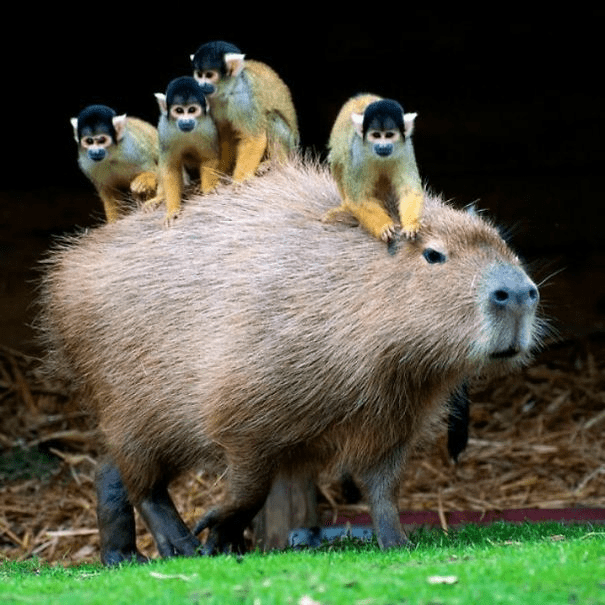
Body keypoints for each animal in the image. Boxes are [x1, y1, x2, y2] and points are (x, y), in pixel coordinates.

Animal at [146, 76, 221, 224]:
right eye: (179, 111)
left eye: (191, 110)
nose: (186, 121)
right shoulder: (164, 129)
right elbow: (170, 168)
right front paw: (172, 211)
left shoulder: (209, 127)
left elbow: (209, 158)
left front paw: (208, 188)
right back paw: (161, 197)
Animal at [191, 39, 300, 182]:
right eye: (199, 75)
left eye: (209, 75)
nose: (200, 85)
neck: (227, 90)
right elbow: (226, 135)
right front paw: (220, 171)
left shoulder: (243, 98)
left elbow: (254, 138)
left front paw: (239, 182)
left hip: (290, 144)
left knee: (271, 118)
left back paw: (277, 163)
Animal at [324, 92, 422, 243]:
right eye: (376, 135)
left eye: (389, 135)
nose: (383, 146)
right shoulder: (357, 152)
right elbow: (359, 199)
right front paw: (384, 226)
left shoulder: (405, 149)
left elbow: (409, 190)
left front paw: (411, 224)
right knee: (340, 159)